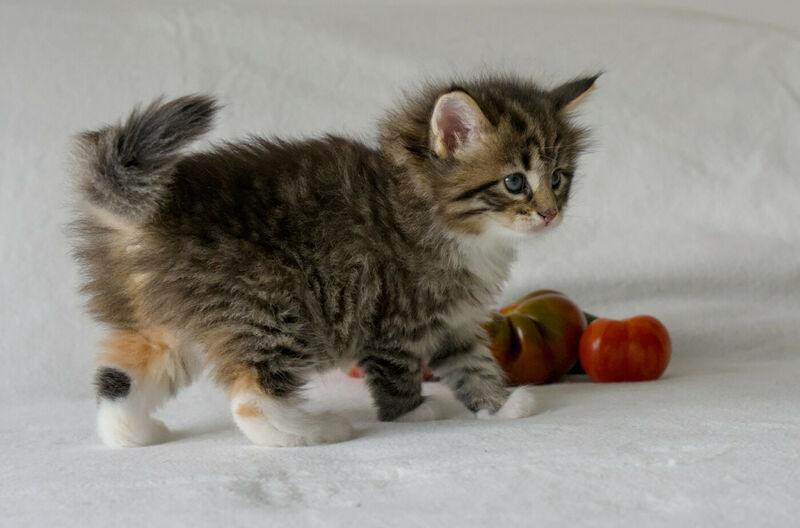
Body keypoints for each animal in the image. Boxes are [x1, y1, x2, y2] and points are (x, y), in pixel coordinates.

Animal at [70, 73, 592, 446]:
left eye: (559, 178)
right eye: (514, 182)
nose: (550, 213)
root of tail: (152, 214)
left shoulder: (454, 317)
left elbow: (471, 362)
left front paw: (498, 406)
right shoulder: (394, 313)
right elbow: (397, 370)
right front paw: (413, 411)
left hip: (167, 325)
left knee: (121, 379)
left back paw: (133, 434)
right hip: (269, 308)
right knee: (250, 397)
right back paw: (315, 431)